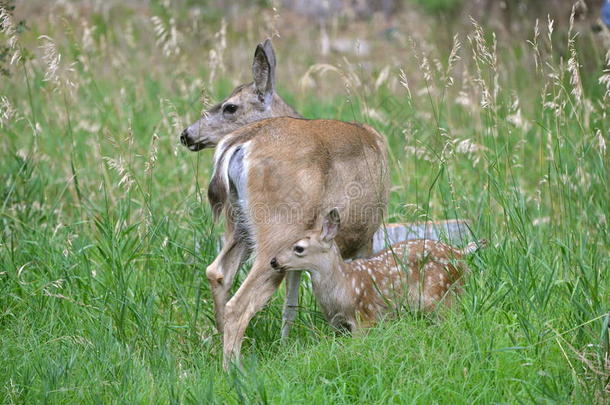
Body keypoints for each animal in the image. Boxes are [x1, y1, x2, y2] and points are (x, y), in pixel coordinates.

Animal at [270, 208, 484, 332]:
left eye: (298, 248)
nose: (273, 261)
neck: (343, 285)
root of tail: (459, 252)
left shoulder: (364, 317)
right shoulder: (334, 322)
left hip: (439, 293)